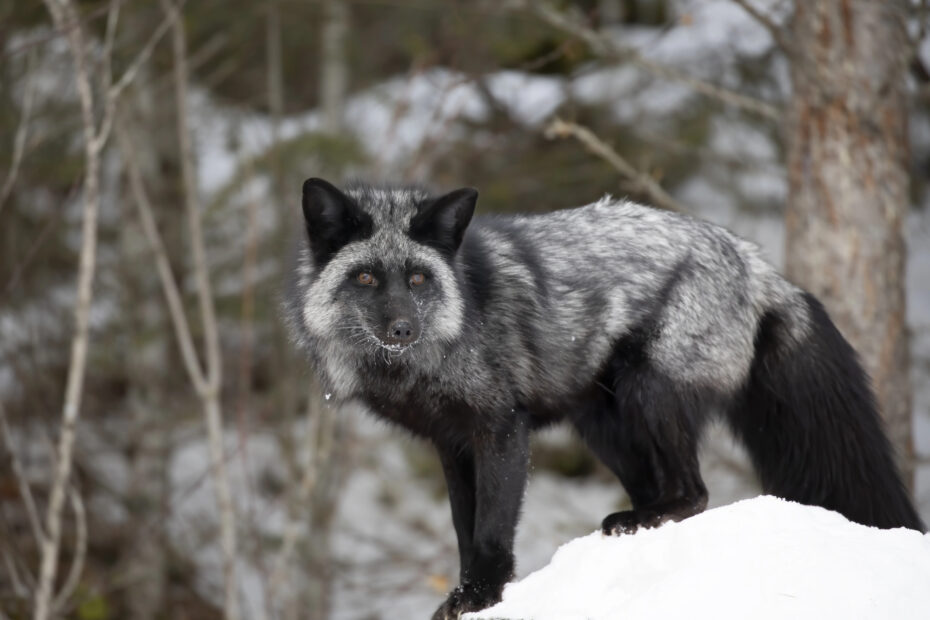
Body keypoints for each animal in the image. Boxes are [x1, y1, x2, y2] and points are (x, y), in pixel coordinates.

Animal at [285, 177, 925, 619]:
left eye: (418, 279)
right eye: (366, 278)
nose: (401, 329)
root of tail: (757, 263)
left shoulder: (500, 427)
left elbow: (490, 531)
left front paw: (483, 595)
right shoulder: (450, 443)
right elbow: (464, 531)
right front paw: (468, 592)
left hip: (650, 393)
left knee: (694, 492)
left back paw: (650, 517)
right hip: (605, 427)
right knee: (661, 489)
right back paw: (635, 523)